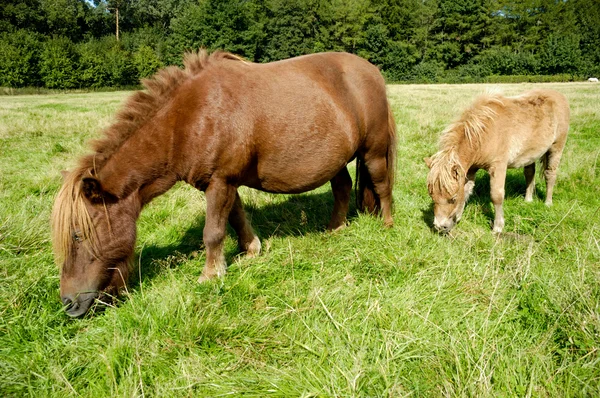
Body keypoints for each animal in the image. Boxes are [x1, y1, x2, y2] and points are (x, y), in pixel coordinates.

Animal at [52, 49, 398, 318]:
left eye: (78, 235)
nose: (68, 303)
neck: (187, 119)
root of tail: (372, 71)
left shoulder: (220, 181)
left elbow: (213, 232)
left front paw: (210, 275)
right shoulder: (223, 183)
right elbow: (236, 217)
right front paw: (251, 250)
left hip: (373, 151)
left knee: (382, 185)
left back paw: (387, 225)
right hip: (335, 160)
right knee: (342, 188)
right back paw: (335, 228)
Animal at [424, 88, 568, 233]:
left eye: (452, 199)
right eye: (432, 196)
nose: (440, 227)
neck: (483, 135)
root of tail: (559, 95)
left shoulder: (498, 167)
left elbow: (496, 196)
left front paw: (498, 227)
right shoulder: (470, 169)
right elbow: (465, 191)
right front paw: (458, 217)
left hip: (556, 147)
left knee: (550, 174)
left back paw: (548, 202)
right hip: (530, 153)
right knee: (529, 173)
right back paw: (528, 200)